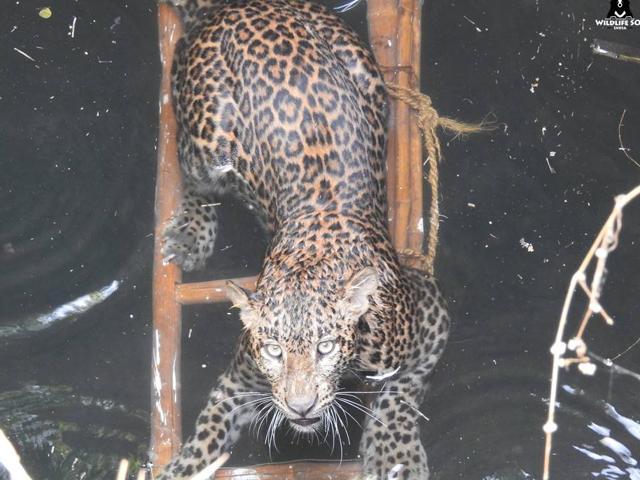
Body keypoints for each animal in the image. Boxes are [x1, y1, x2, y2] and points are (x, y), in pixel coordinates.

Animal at [157, 0, 451, 478]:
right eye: (274, 351)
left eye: (325, 347)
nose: (300, 407)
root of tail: (230, 6)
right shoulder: (242, 377)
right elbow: (209, 426)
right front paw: (182, 466)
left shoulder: (430, 313)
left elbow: (402, 388)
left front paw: (396, 453)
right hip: (208, 140)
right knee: (197, 179)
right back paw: (188, 234)